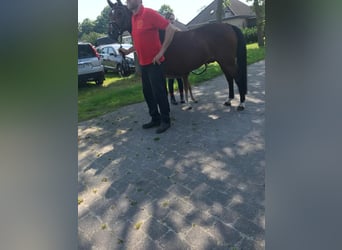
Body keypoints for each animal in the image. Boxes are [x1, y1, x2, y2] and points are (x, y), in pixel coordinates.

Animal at [106, 0, 246, 110]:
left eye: (120, 13)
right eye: (110, 14)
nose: (111, 32)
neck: (160, 38)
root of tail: (228, 26)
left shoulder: (161, 74)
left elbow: (162, 93)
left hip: (227, 62)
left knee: (237, 78)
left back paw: (241, 104)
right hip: (223, 62)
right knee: (230, 79)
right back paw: (228, 100)